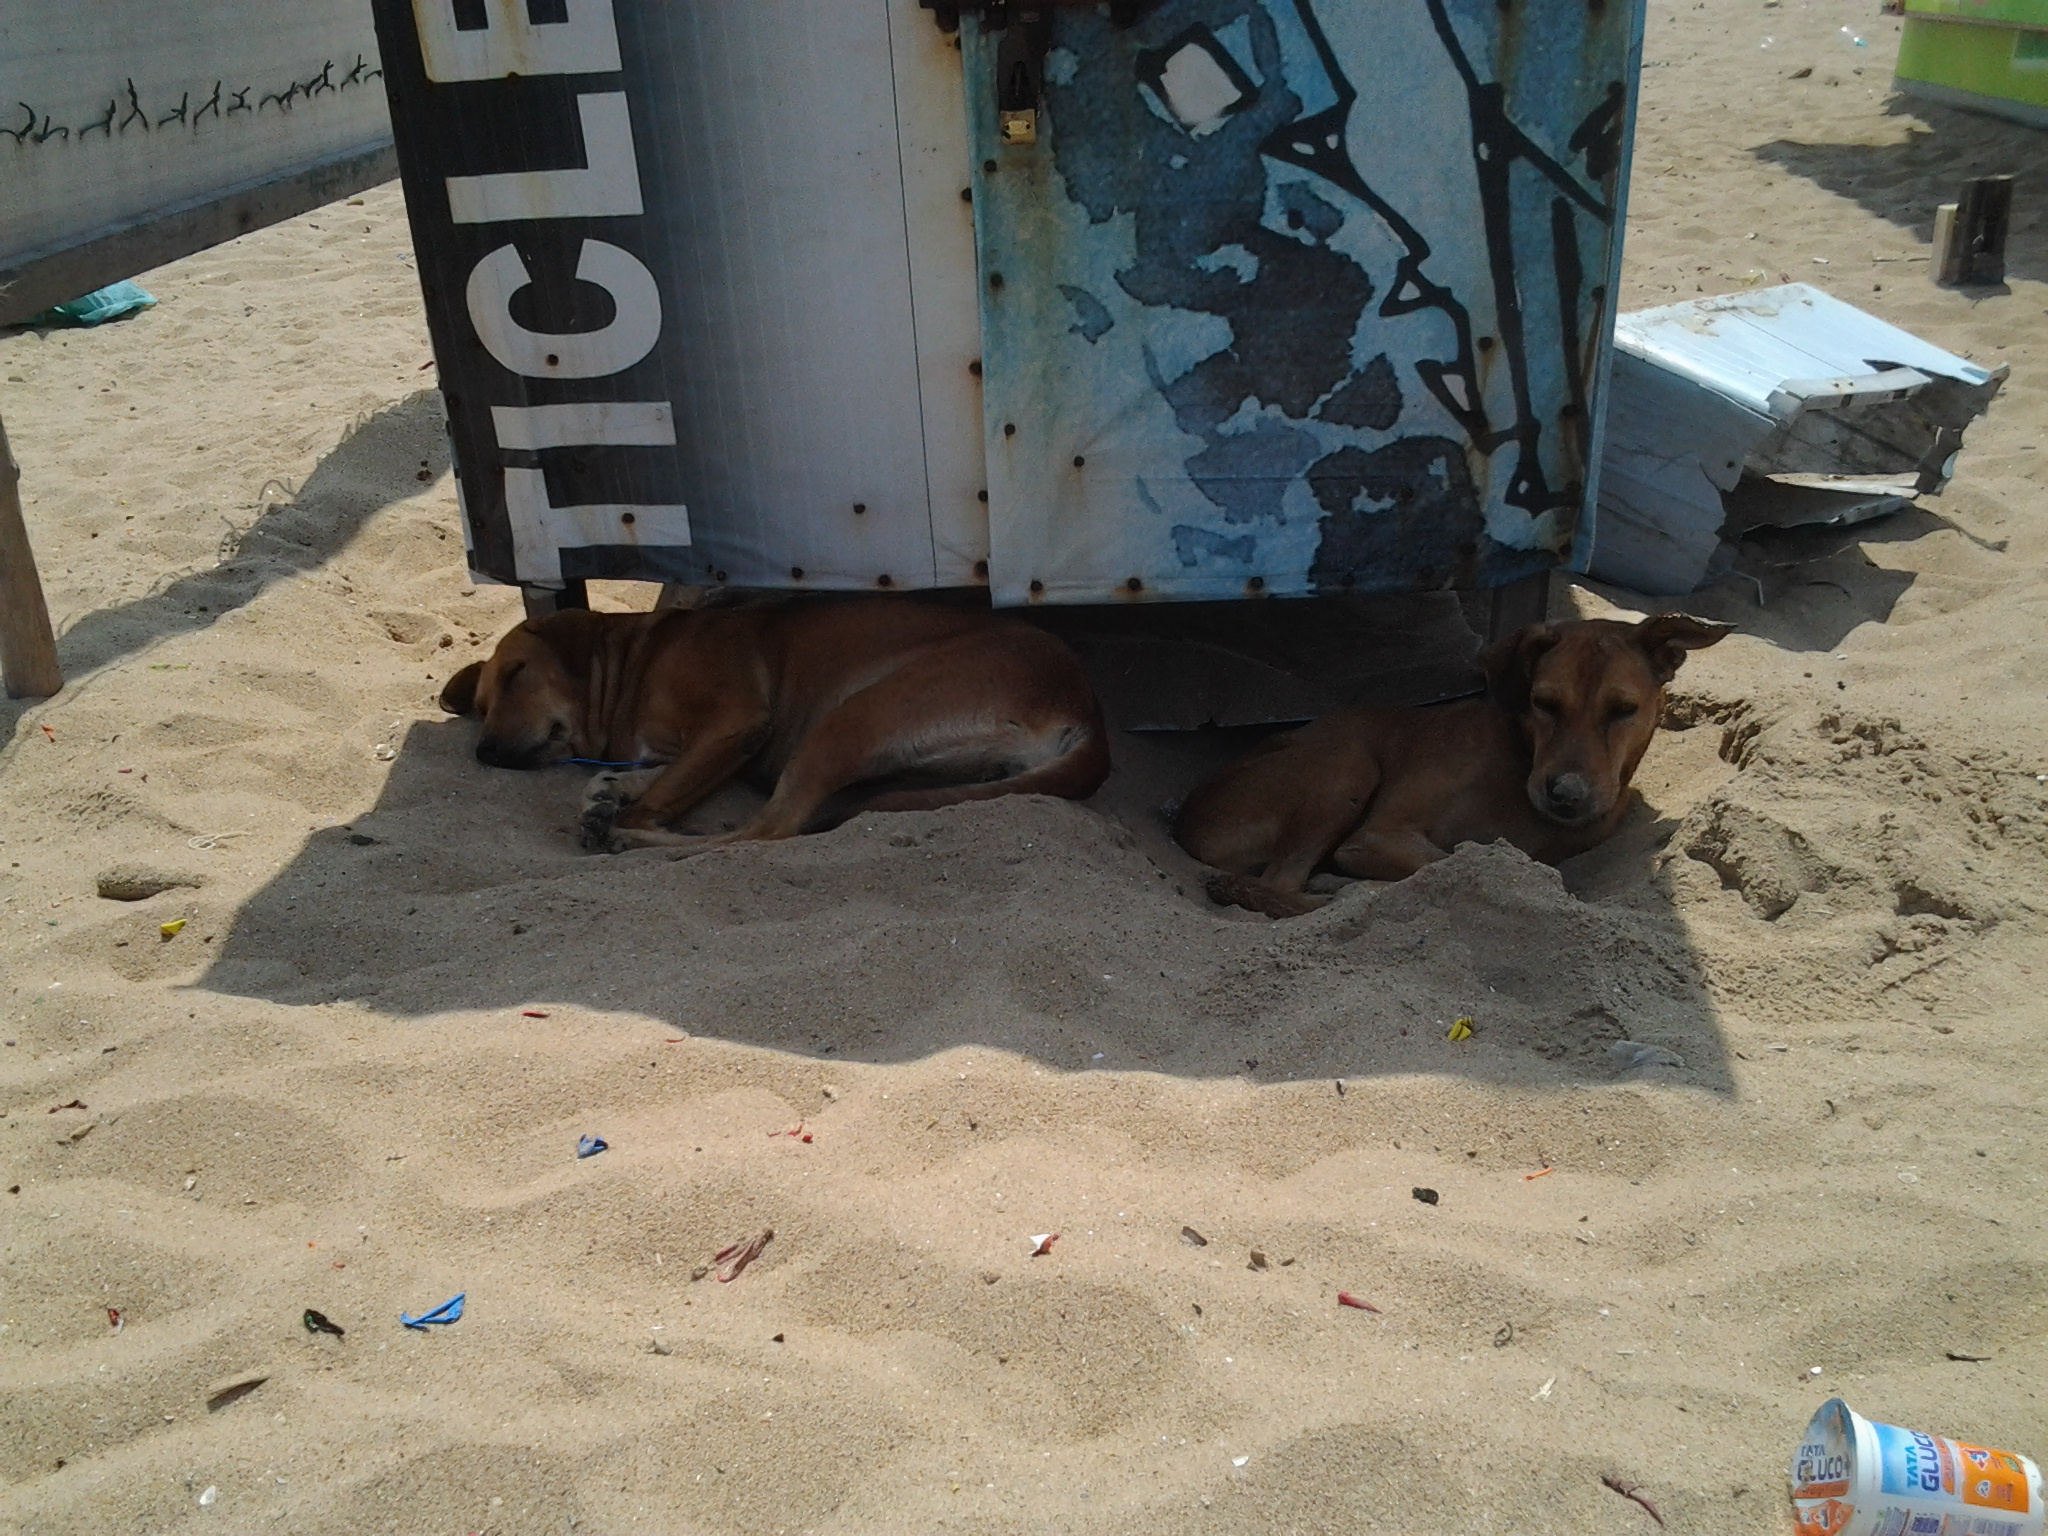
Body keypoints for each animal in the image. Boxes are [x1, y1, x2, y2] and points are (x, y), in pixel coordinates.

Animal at [432, 593, 1105, 856]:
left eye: (517, 674)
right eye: (482, 706)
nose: (486, 752)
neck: (636, 666)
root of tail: (1086, 710)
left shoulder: (736, 723)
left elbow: (660, 795)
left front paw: (622, 810)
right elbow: (654, 776)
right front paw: (606, 790)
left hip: (852, 717)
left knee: (764, 832)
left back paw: (637, 840)